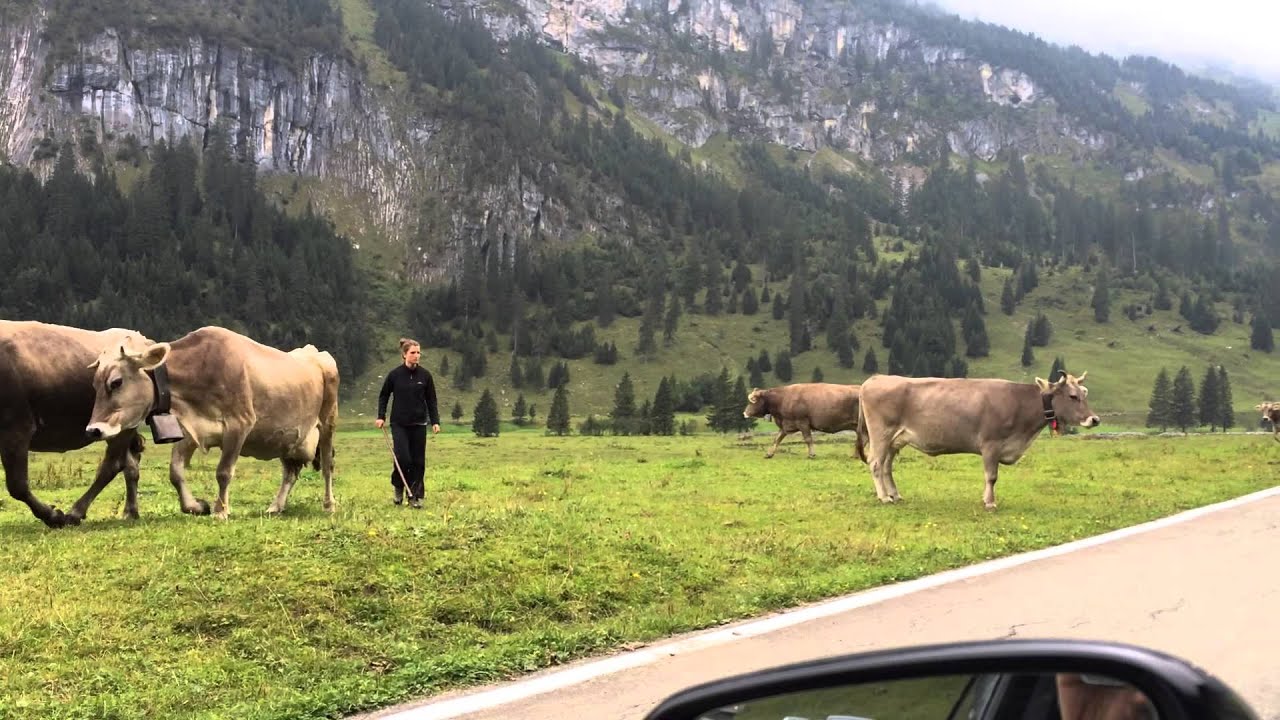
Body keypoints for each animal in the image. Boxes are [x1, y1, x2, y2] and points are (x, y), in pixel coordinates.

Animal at [0, 320, 152, 527]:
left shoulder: (16, 426)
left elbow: (17, 486)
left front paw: (53, 516)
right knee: (131, 465)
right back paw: (130, 511)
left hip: (123, 424)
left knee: (112, 465)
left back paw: (76, 512)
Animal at [85, 326, 339, 519]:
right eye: (94, 384)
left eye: (116, 382)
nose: (93, 430)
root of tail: (315, 352)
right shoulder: (191, 430)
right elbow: (175, 471)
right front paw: (195, 506)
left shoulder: (240, 423)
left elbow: (224, 472)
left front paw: (220, 511)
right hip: (288, 437)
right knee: (290, 472)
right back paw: (276, 506)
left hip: (328, 422)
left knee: (327, 465)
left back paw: (329, 505)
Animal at [854, 372, 1100, 510]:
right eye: (1073, 396)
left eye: (1085, 393)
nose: (1095, 419)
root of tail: (875, 379)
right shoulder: (991, 444)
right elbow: (991, 476)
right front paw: (990, 502)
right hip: (881, 434)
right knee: (876, 464)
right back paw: (884, 497)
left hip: (895, 440)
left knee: (886, 466)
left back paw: (895, 494)